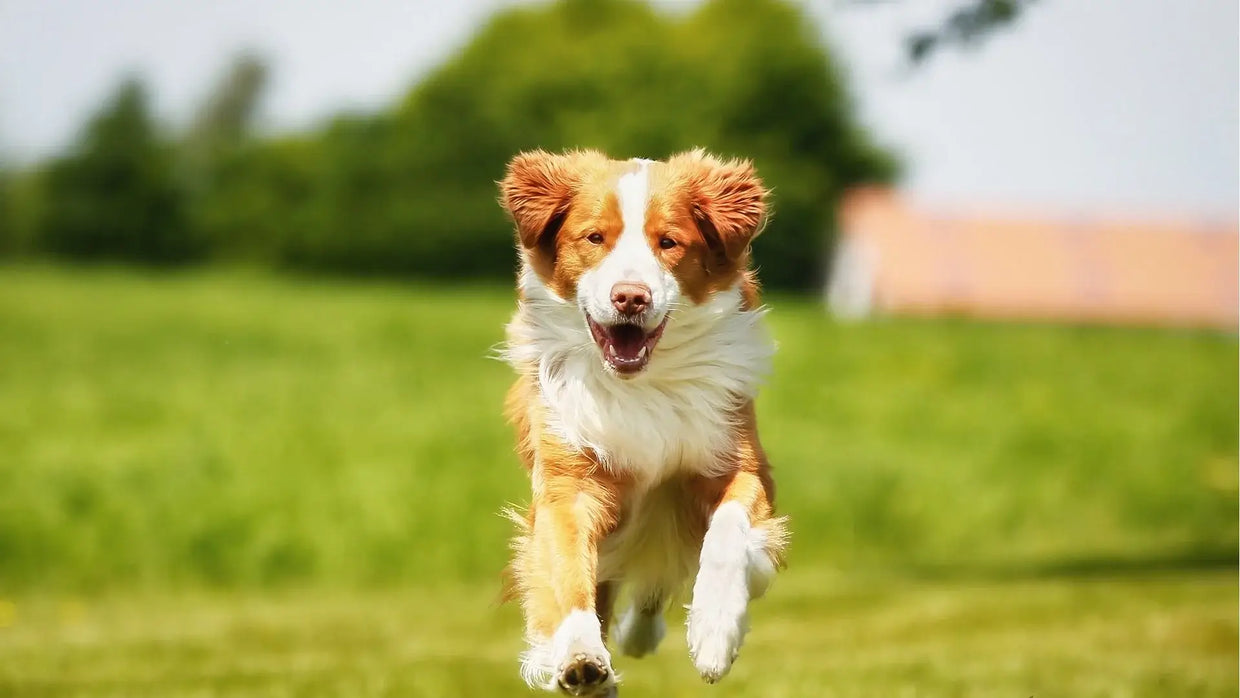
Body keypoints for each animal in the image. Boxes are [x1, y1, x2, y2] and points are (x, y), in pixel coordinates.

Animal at [498, 147, 788, 694]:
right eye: (595, 238)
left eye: (668, 242)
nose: (630, 297)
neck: (643, 384)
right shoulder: (568, 482)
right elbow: (567, 572)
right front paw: (580, 657)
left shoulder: (739, 462)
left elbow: (729, 534)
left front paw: (715, 634)